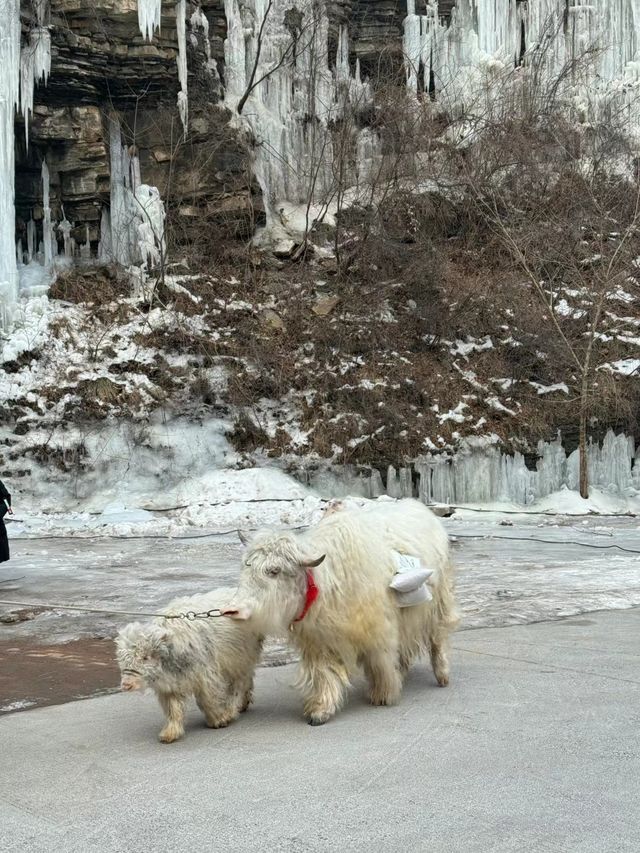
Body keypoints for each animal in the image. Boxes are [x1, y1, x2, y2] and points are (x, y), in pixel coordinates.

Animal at [115, 588, 262, 744]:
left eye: (145, 657)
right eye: (122, 659)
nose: (126, 685)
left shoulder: (205, 674)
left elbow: (208, 698)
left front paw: (219, 719)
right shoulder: (170, 684)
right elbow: (172, 708)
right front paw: (170, 732)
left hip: (241, 656)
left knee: (240, 681)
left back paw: (233, 707)